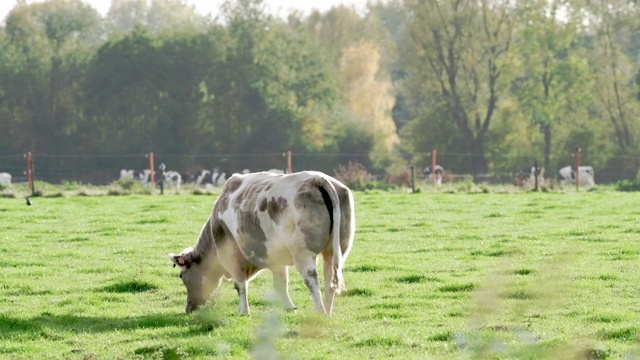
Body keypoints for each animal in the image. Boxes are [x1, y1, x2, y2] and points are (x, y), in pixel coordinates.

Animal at [170, 171, 356, 316]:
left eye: (181, 276)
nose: (188, 308)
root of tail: (317, 178)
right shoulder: (277, 259)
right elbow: (281, 284)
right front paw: (289, 308)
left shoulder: (230, 257)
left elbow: (240, 285)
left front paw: (243, 311)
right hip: (335, 250)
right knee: (330, 281)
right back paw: (328, 312)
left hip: (303, 253)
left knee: (312, 281)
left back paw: (320, 311)